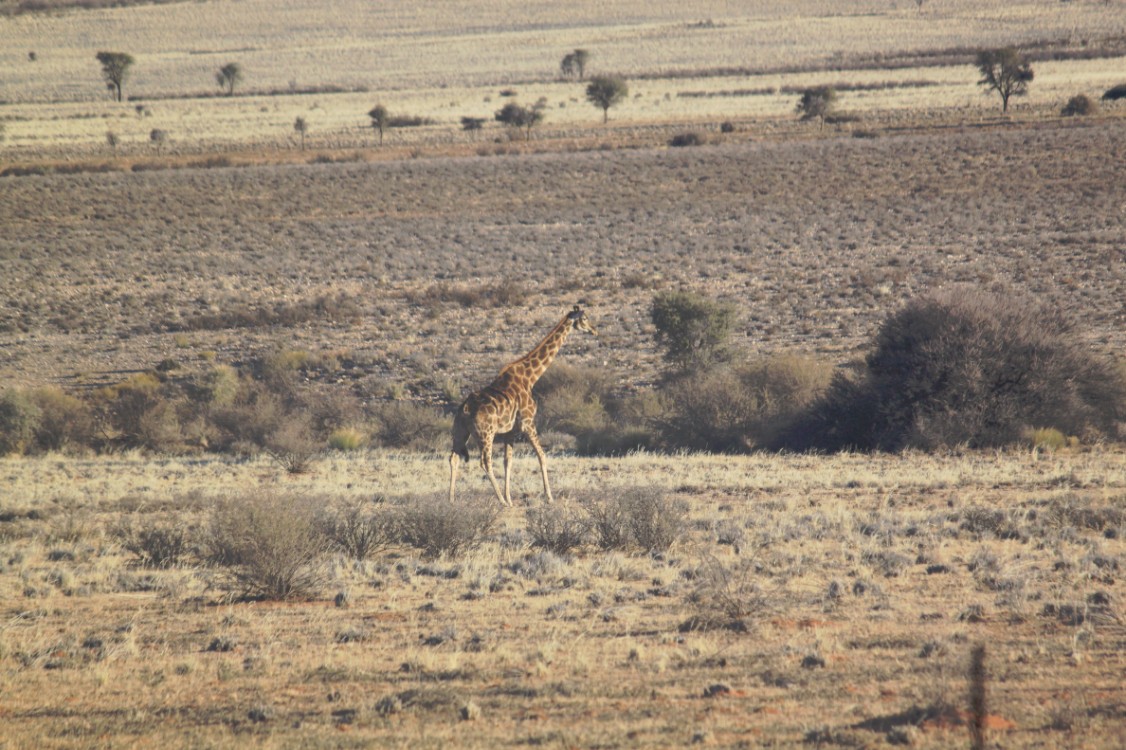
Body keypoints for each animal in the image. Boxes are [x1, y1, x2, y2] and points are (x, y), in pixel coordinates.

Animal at [448, 301, 599, 504]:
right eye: (584, 318)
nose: (594, 330)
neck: (530, 378)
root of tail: (464, 409)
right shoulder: (528, 423)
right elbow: (542, 456)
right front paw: (549, 497)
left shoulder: (510, 431)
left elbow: (508, 462)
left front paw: (511, 499)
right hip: (485, 434)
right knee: (485, 462)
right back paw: (501, 502)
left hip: (460, 431)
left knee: (454, 458)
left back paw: (451, 500)